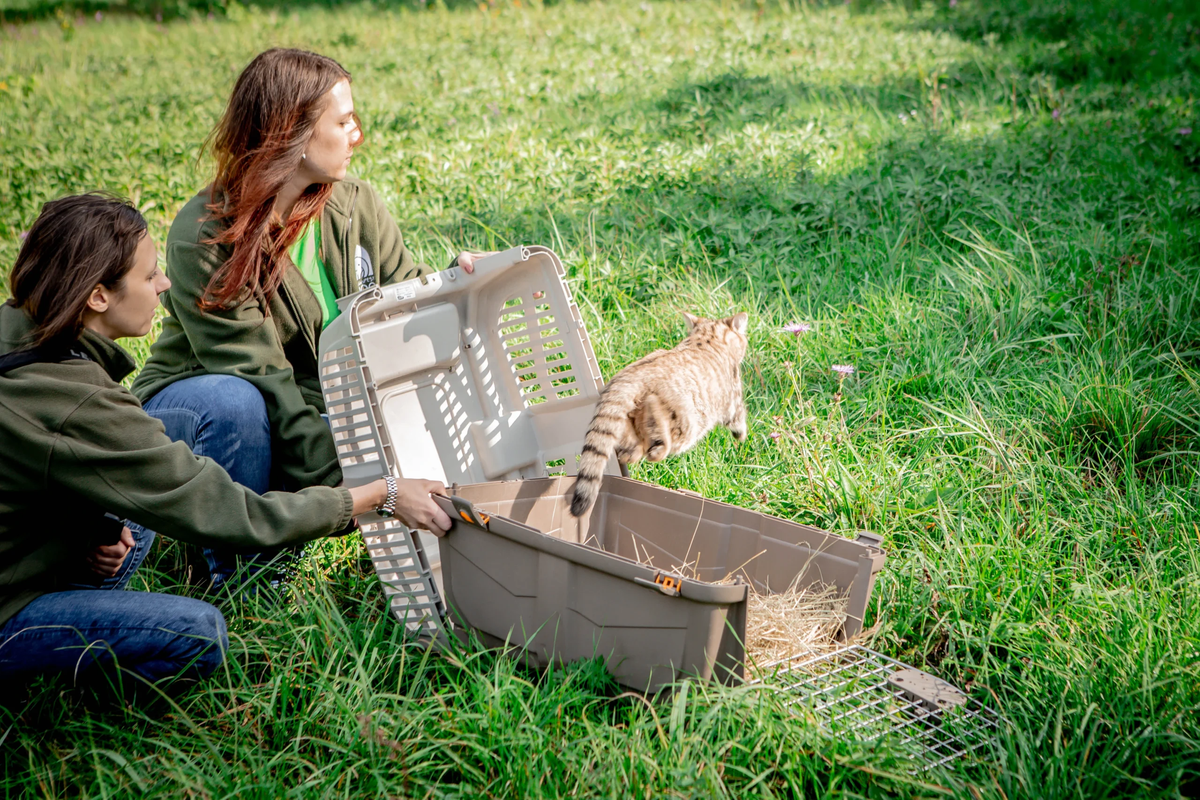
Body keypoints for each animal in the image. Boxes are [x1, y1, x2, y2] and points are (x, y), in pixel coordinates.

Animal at [571, 309, 748, 515]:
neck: (707, 338)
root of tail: (628, 379)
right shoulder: (733, 402)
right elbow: (739, 419)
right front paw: (741, 436)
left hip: (624, 420)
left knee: (630, 448)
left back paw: (631, 454)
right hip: (686, 424)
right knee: (659, 440)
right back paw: (656, 446)